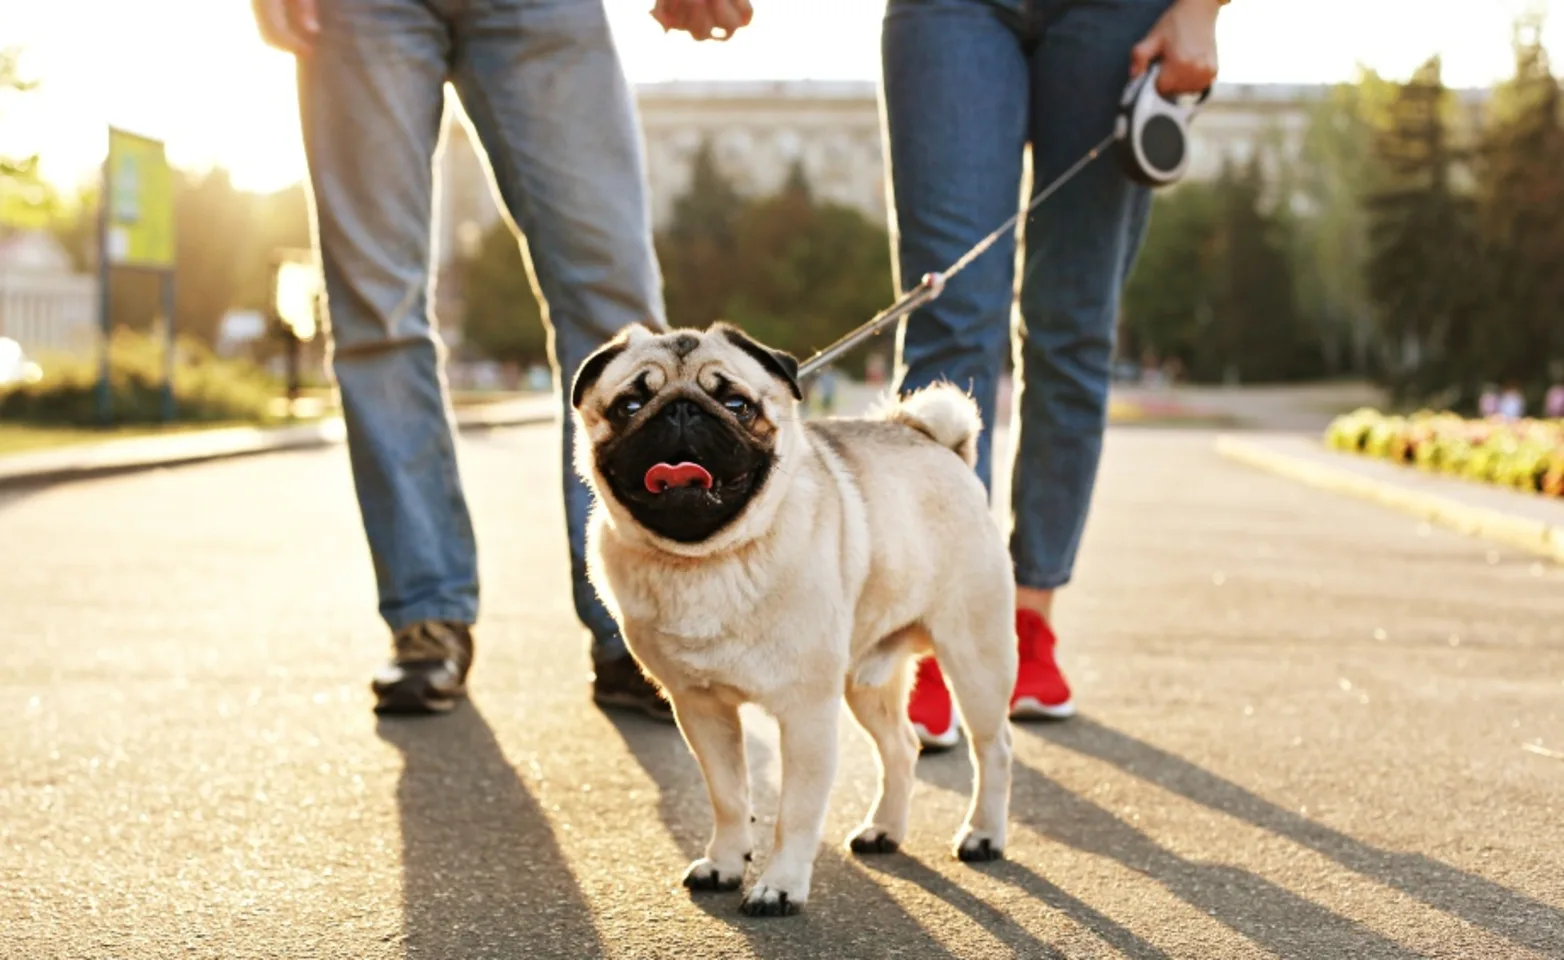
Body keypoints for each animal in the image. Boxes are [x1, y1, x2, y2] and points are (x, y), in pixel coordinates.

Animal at [572, 323, 1013, 919]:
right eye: (631, 406)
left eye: (737, 404)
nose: (682, 411)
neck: (707, 562)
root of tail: (940, 446)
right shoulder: (701, 709)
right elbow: (730, 797)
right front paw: (726, 862)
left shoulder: (806, 714)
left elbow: (795, 813)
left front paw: (779, 885)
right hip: (863, 682)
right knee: (901, 748)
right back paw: (884, 829)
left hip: (975, 660)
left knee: (994, 749)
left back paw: (983, 835)